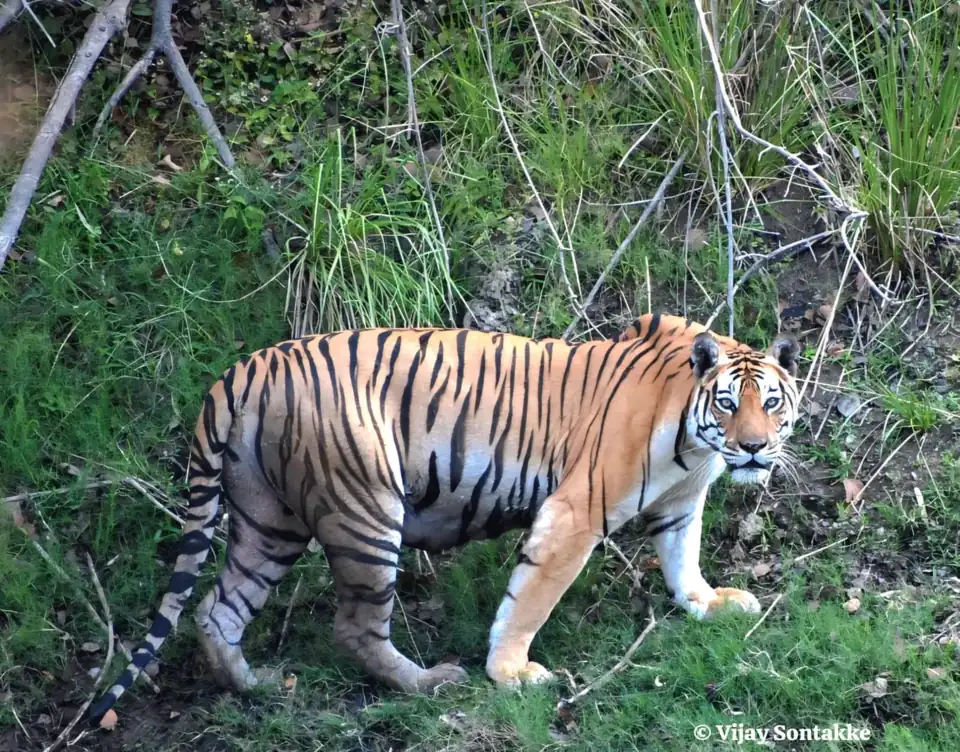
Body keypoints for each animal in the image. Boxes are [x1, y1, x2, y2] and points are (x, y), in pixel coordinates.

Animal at [88, 313, 799, 724]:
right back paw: (431, 683)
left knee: (218, 609)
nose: (754, 448)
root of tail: (244, 369)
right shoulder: (574, 511)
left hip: (271, 521)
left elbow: (683, 561)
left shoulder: (680, 505)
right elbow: (531, 599)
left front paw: (710, 604)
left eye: (772, 403)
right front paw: (510, 673)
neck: (695, 442)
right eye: (729, 403)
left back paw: (254, 687)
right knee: (354, 627)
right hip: (366, 510)